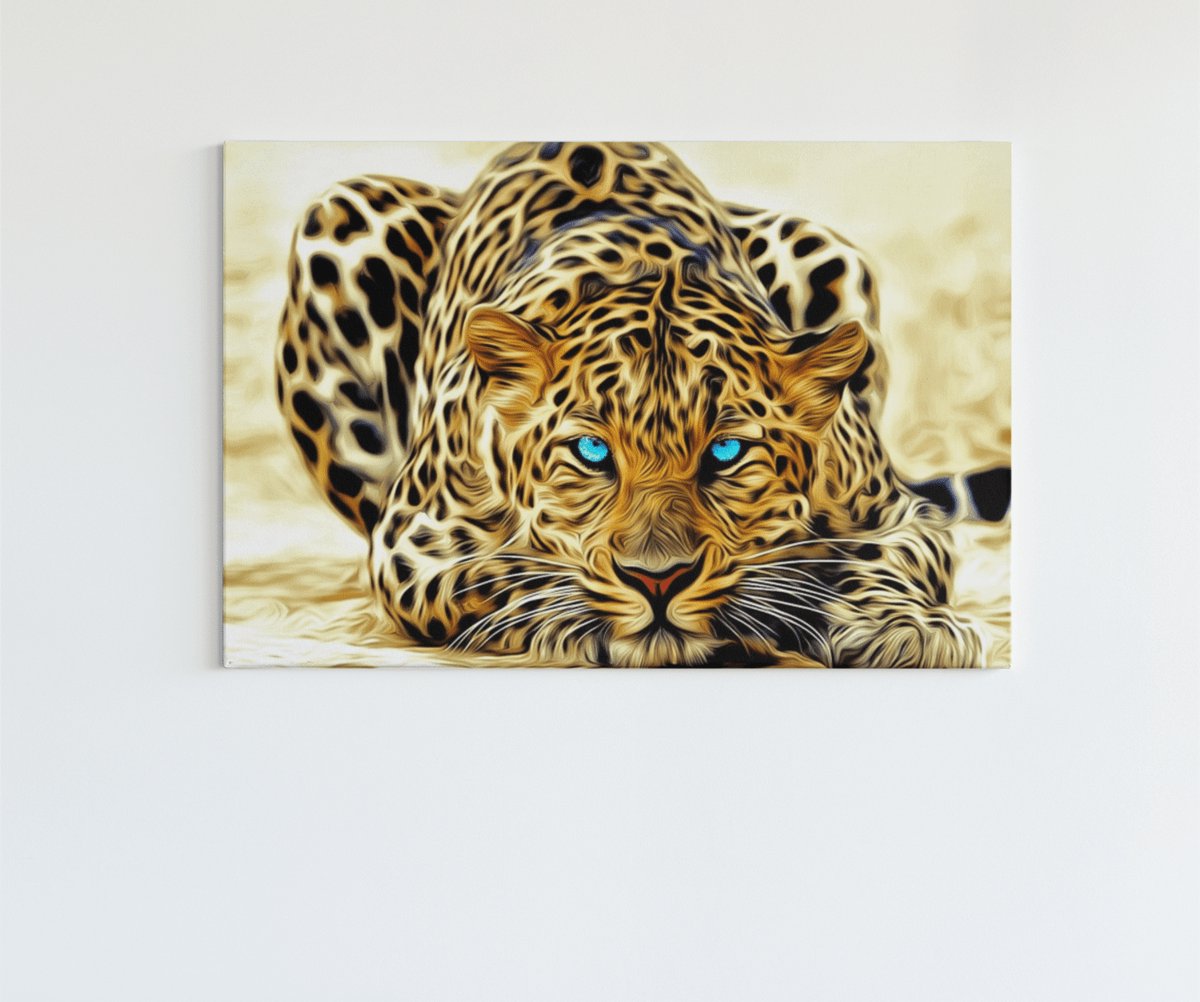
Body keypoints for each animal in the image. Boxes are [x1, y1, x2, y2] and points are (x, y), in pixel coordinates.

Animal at [275, 141, 999, 667]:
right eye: (591, 451)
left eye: (726, 451)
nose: (659, 580)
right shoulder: (414, 543)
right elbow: (505, 573)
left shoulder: (897, 513)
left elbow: (889, 560)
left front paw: (904, 626)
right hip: (338, 216)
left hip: (823, 247)